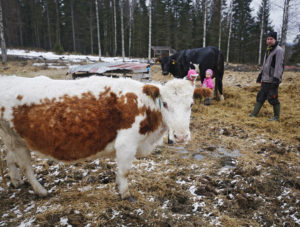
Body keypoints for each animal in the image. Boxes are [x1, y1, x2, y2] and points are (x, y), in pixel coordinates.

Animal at [0, 75, 205, 199]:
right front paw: (125, 194)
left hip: (11, 138)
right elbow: (125, 171)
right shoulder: (126, 144)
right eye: (166, 104)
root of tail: (8, 78)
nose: (181, 136)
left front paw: (118, 186)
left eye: (191, 104)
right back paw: (41, 191)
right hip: (16, 139)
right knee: (26, 166)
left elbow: (119, 171)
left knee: (10, 159)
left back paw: (16, 182)